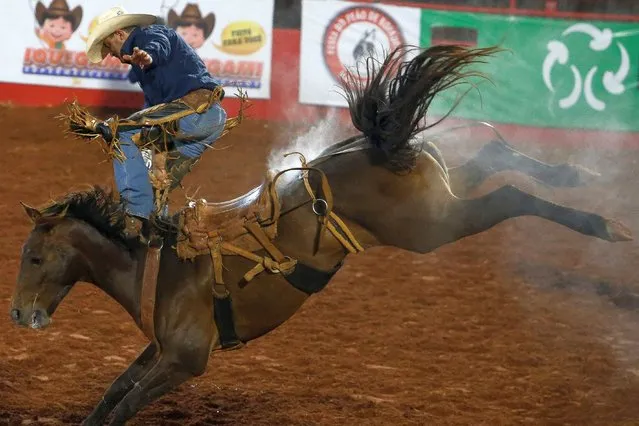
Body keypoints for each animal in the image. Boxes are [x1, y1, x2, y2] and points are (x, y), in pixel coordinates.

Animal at [8, 45, 636, 424]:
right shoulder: (162, 350)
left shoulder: (185, 360)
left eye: (34, 257)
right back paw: (579, 175)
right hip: (437, 192)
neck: (159, 259)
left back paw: (604, 223)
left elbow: (125, 404)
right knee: (491, 156)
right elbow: (114, 392)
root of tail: (374, 146)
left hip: (432, 226)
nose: (17, 314)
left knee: (509, 197)